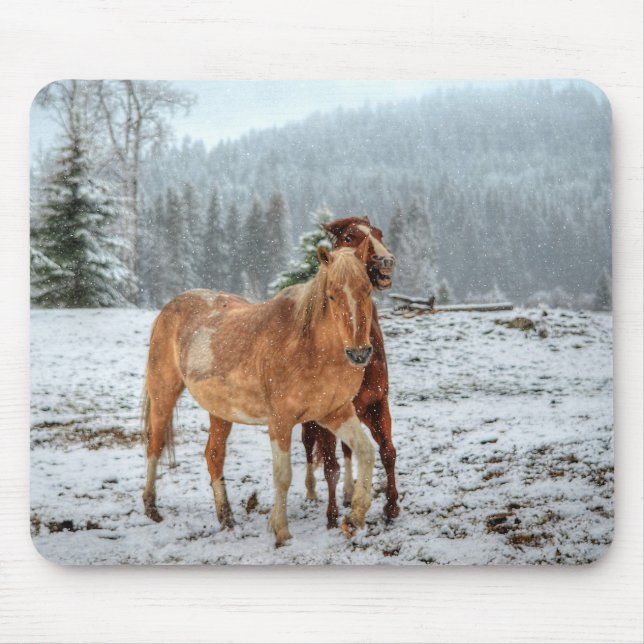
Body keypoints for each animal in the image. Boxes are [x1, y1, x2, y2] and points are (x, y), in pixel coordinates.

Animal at [142, 242, 376, 546]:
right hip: (163, 395)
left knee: (213, 456)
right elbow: (283, 476)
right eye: (332, 295)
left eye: (368, 289)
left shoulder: (336, 413)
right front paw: (281, 531)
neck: (310, 348)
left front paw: (354, 518)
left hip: (220, 412)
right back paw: (151, 507)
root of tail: (169, 308)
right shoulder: (280, 422)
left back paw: (227, 519)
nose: (359, 353)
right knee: (155, 445)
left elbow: (366, 452)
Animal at [301, 216, 400, 528]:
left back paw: (348, 494)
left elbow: (387, 451)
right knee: (309, 448)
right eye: (348, 237)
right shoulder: (325, 416)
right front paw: (332, 518)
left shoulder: (376, 403)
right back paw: (312, 493)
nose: (386, 260)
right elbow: (329, 465)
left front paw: (391, 507)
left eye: (379, 234)